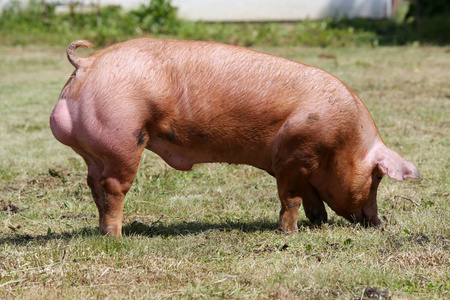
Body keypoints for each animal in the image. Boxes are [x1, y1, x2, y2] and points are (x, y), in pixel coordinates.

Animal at [51, 38, 420, 238]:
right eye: (377, 178)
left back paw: (104, 231)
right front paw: (289, 233)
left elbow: (312, 200)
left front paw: (320, 225)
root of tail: (87, 62)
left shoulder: (304, 168)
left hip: (96, 150)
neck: (342, 143)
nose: (378, 222)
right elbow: (291, 198)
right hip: (123, 138)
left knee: (93, 184)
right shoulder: (294, 154)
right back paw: (118, 237)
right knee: (113, 187)